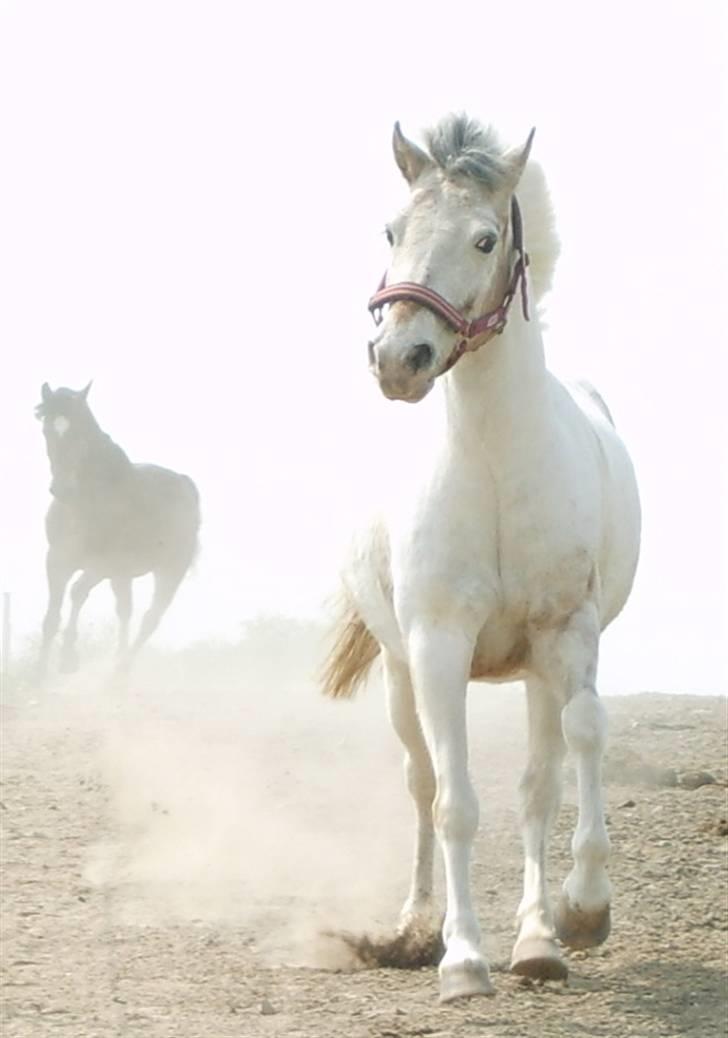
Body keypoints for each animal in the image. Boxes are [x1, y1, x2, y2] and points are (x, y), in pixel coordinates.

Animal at [35, 381, 200, 672]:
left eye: (81, 435)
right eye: (47, 431)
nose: (62, 489)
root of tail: (184, 483)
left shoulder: (105, 564)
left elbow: (80, 594)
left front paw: (67, 657)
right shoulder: (57, 559)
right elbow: (52, 617)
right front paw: (40, 672)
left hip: (169, 571)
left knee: (149, 618)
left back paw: (118, 673)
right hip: (118, 574)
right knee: (120, 608)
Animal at [321, 115, 635, 1004]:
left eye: (485, 237)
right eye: (392, 229)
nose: (399, 359)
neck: (493, 461)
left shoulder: (568, 632)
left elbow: (583, 739)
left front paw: (582, 912)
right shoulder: (437, 646)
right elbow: (455, 801)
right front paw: (460, 959)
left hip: (535, 672)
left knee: (538, 788)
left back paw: (537, 941)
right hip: (401, 677)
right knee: (423, 785)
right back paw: (417, 923)